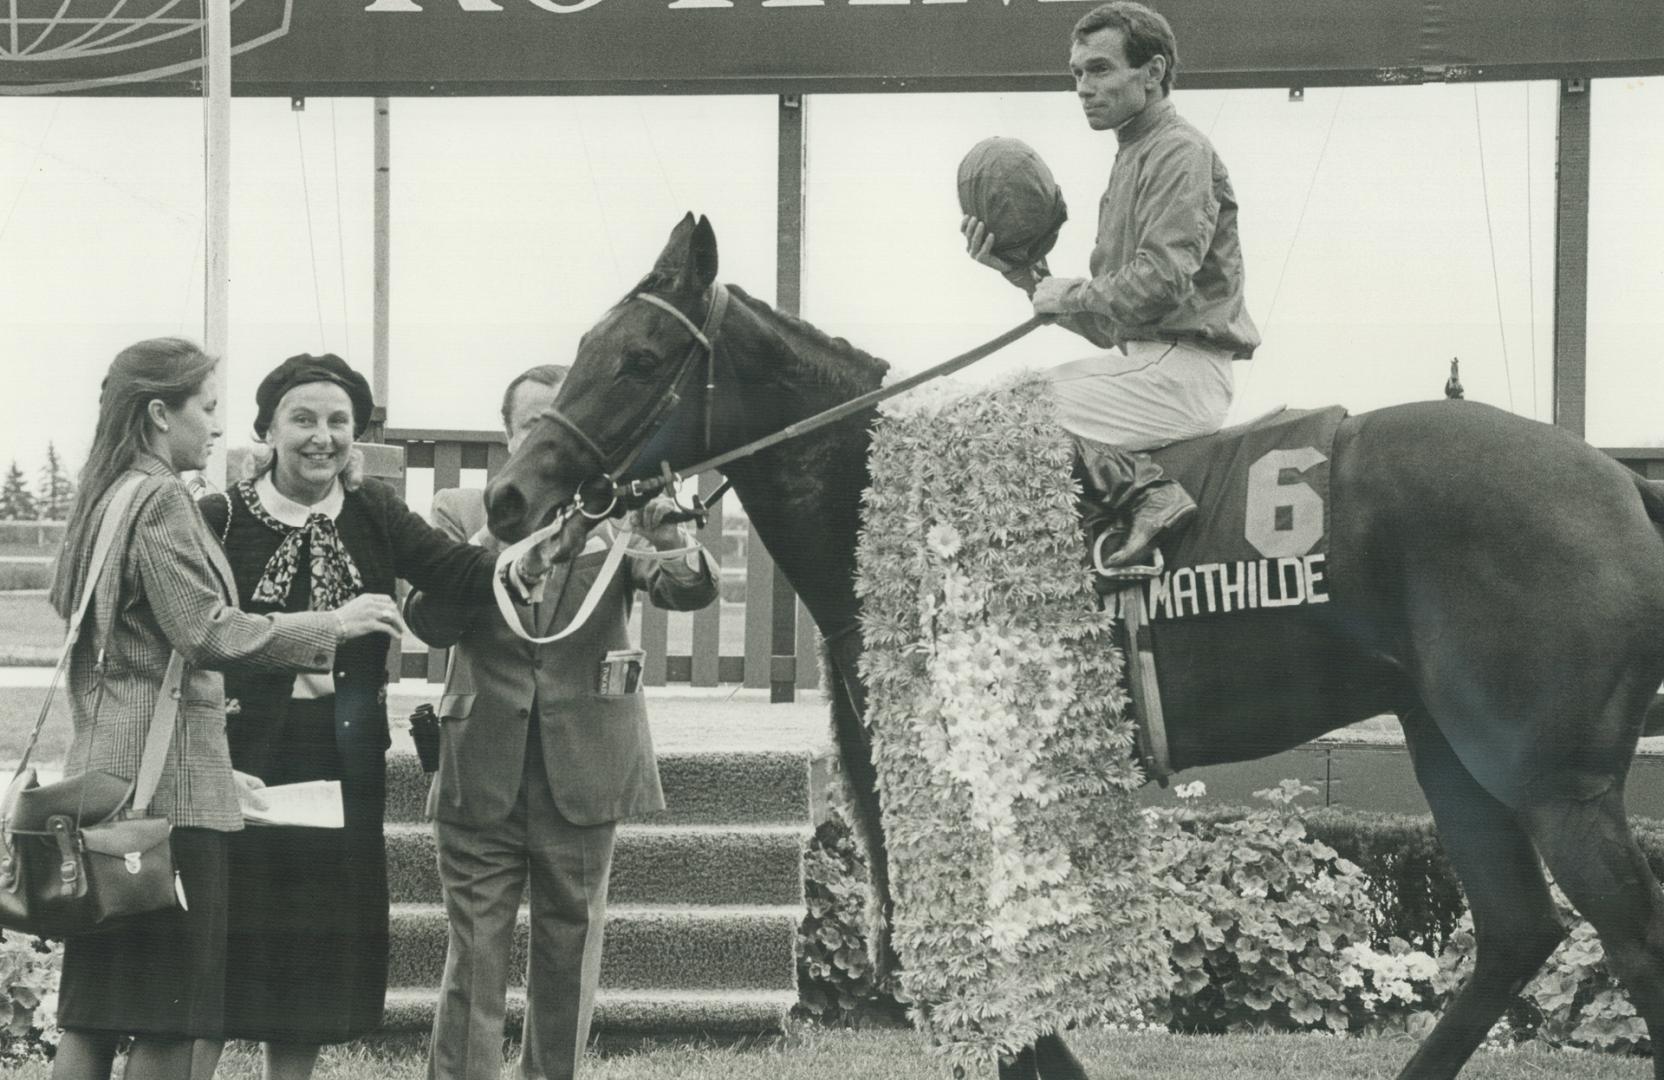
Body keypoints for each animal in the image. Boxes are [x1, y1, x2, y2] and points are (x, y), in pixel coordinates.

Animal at [485, 213, 1664, 1078]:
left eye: (637, 357)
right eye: (585, 349)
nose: (508, 496)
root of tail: (1617, 481)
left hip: (1550, 775)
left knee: (1627, 935)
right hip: (1452, 750)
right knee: (1516, 932)